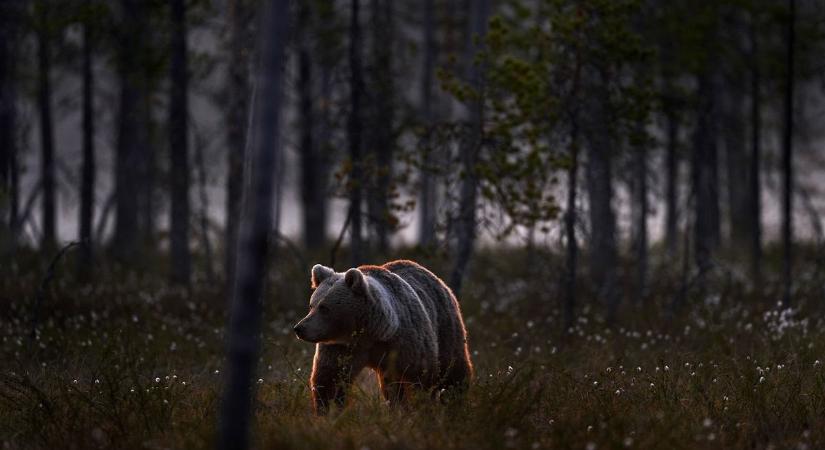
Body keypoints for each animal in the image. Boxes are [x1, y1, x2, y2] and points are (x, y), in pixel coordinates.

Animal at [292, 258, 474, 414]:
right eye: (311, 305)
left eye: (324, 308)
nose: (299, 328)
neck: (370, 333)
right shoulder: (341, 347)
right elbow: (330, 378)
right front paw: (328, 412)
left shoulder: (404, 343)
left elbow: (418, 376)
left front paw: (418, 407)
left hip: (446, 325)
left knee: (453, 371)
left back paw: (455, 401)